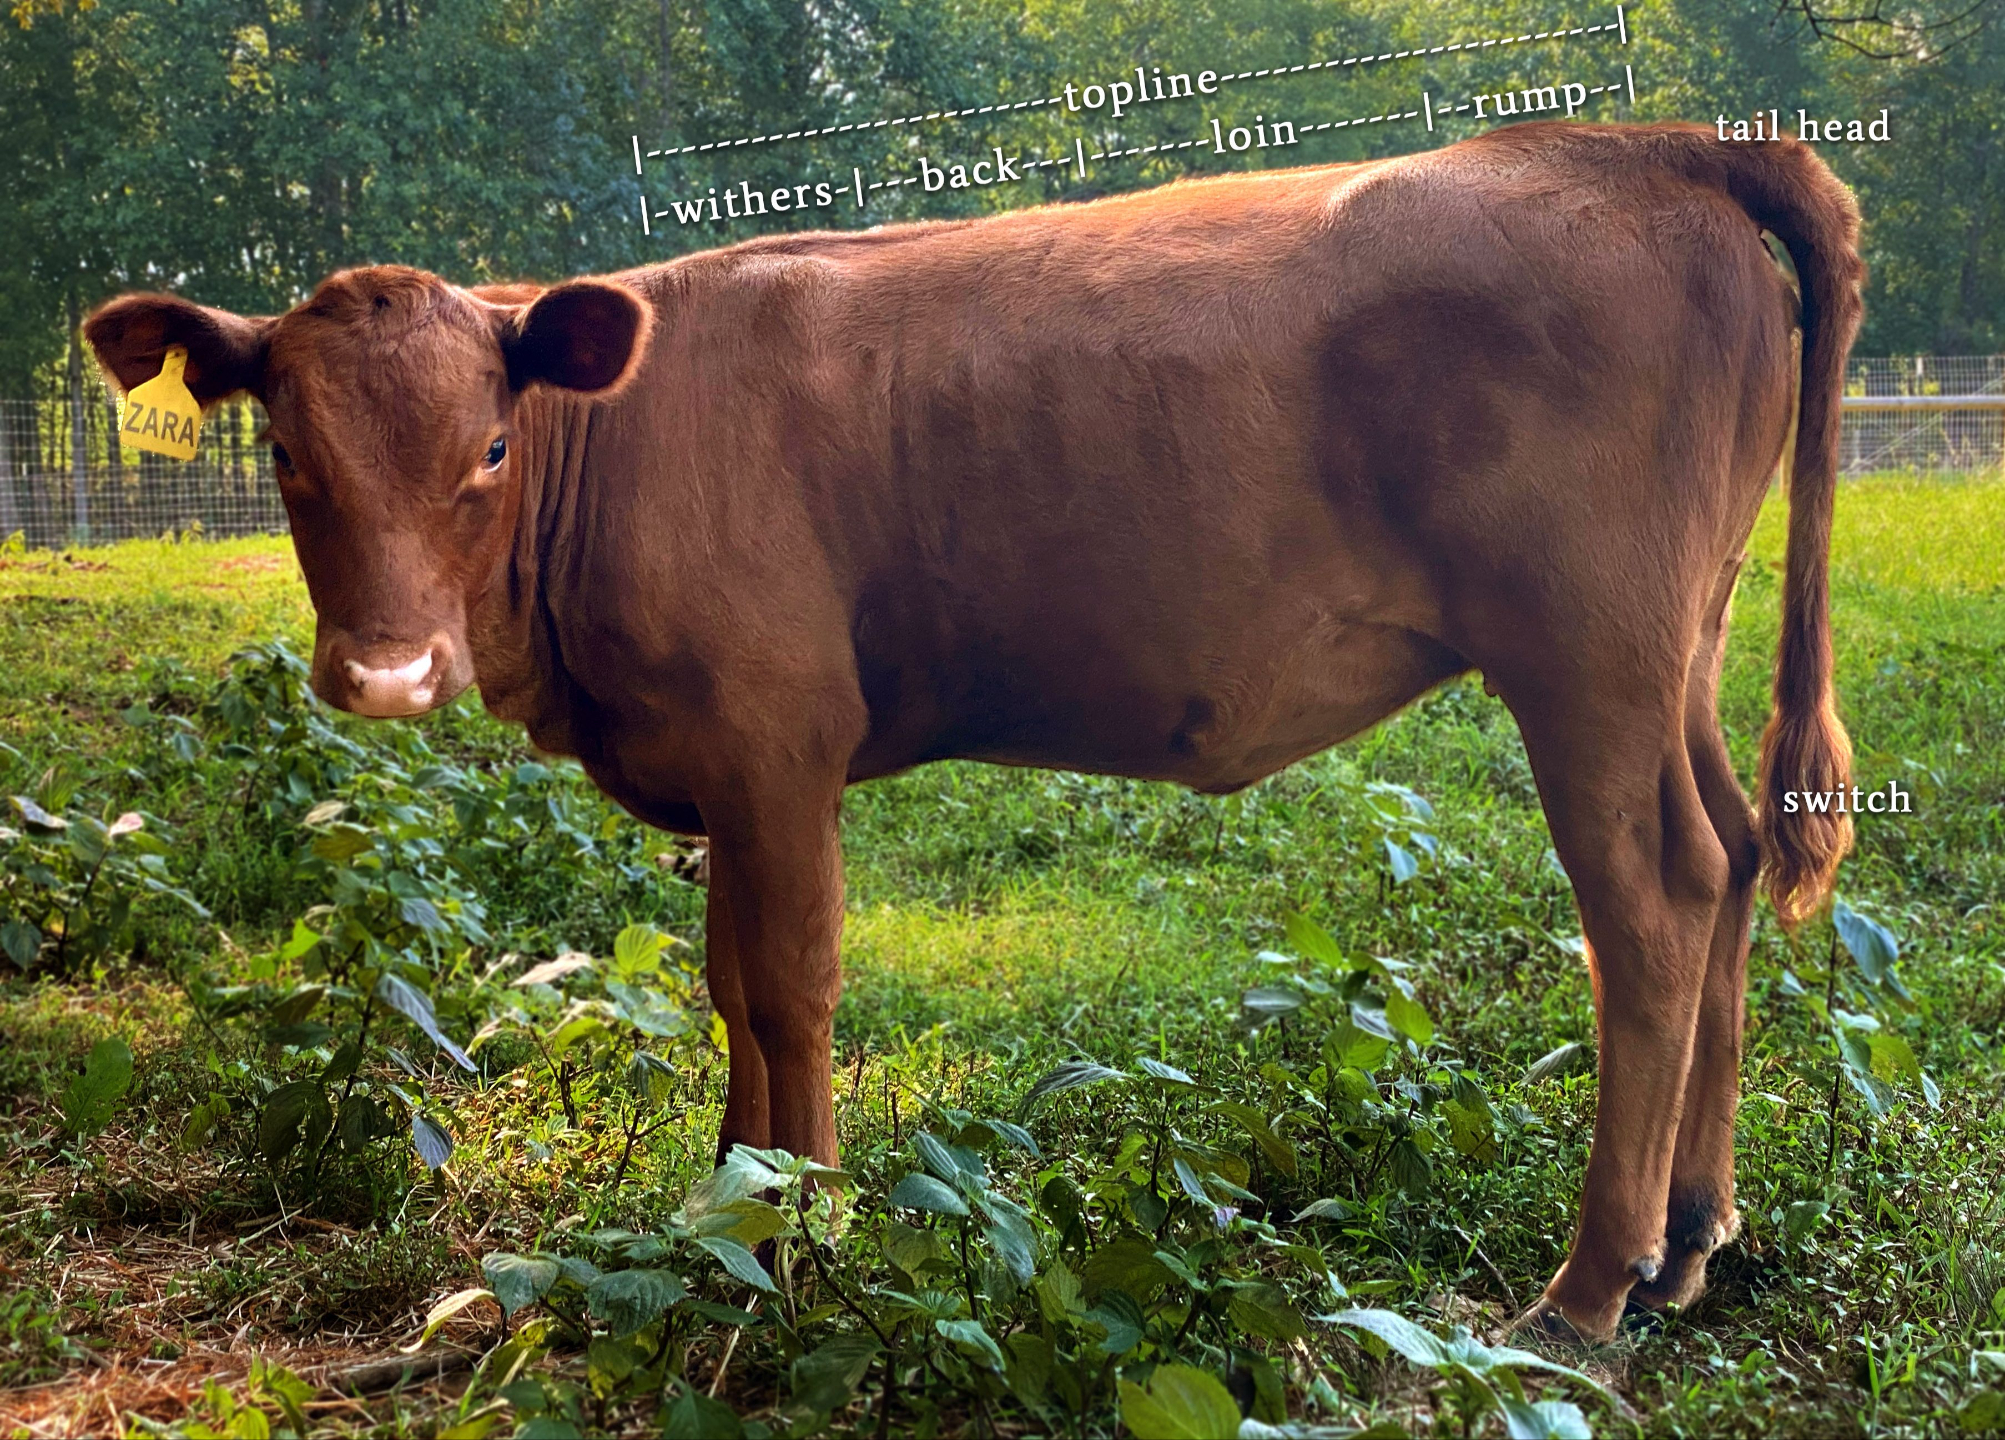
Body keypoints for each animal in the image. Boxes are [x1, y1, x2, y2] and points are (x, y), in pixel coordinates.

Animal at [86, 120, 1862, 1342]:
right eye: (287, 455)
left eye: (489, 448)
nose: (389, 676)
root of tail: (1637, 143)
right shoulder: (729, 766)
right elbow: (730, 989)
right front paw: (722, 1201)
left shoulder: (778, 738)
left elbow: (790, 989)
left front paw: (794, 1235)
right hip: (1676, 649)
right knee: (1725, 861)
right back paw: (1690, 1234)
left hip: (1584, 652)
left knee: (1651, 902)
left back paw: (1587, 1286)